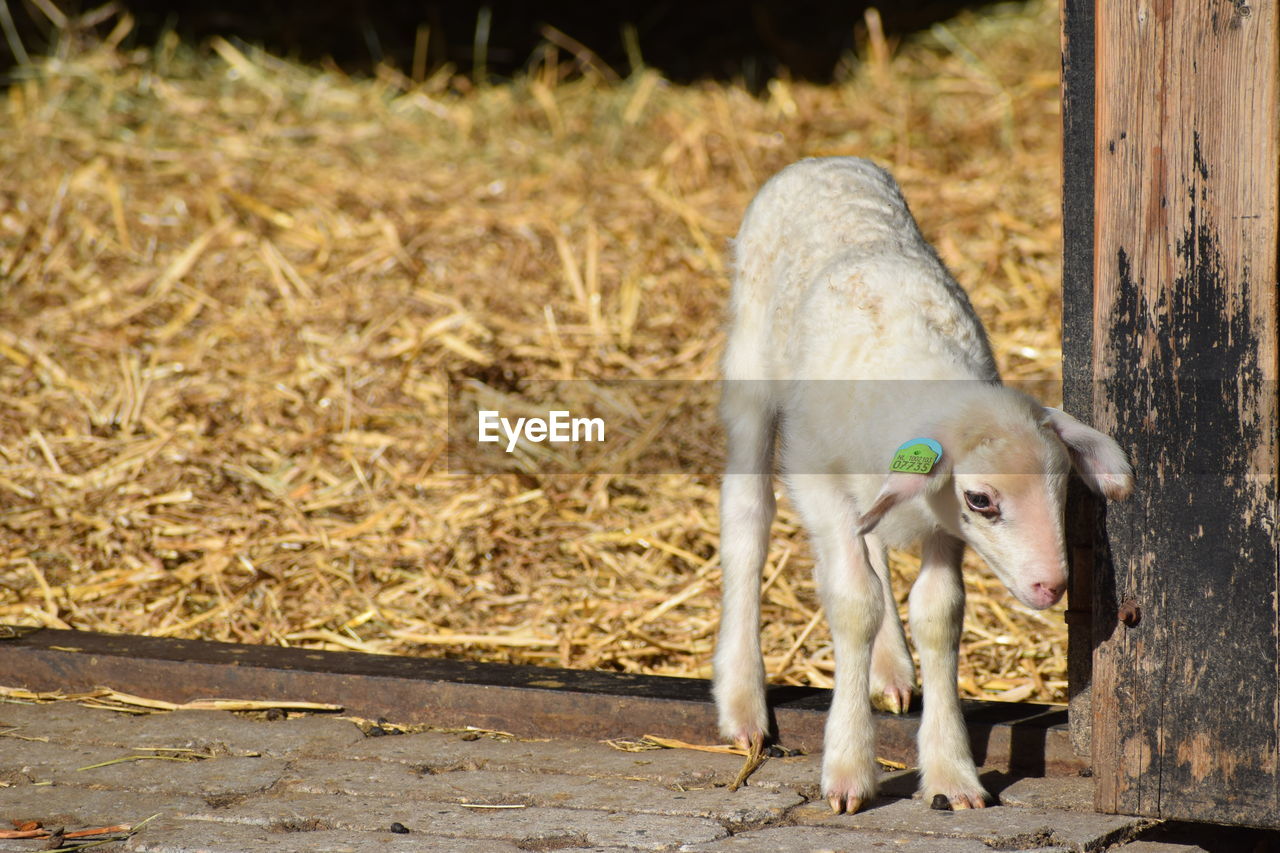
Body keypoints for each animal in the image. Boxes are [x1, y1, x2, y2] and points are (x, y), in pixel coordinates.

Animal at [716, 156, 1136, 814]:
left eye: (1063, 486)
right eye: (981, 500)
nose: (1051, 587)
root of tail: (825, 161)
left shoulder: (937, 518)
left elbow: (939, 613)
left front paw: (950, 773)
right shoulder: (821, 480)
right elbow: (853, 602)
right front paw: (848, 767)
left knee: (873, 541)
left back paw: (889, 668)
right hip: (752, 368)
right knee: (748, 517)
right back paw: (742, 702)